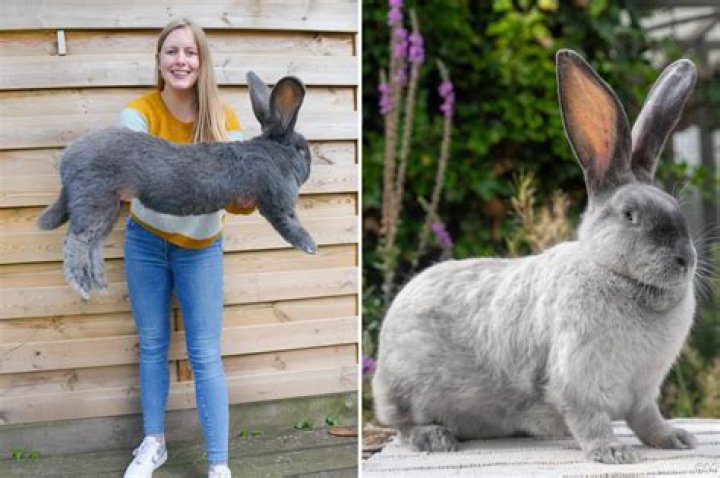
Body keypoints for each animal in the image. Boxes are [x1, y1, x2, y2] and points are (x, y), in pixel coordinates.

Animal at [37, 71, 316, 300]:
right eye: (302, 149)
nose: (310, 167)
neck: (274, 152)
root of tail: (68, 159)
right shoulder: (278, 204)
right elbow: (290, 226)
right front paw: (311, 246)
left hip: (108, 208)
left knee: (94, 244)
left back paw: (100, 284)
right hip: (94, 199)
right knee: (76, 240)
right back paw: (82, 287)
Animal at [372, 49, 699, 465]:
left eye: (676, 208)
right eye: (629, 215)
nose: (685, 260)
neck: (612, 270)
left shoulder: (643, 392)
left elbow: (648, 420)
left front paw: (674, 438)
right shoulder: (575, 382)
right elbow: (590, 421)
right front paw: (612, 452)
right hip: (405, 392)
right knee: (401, 427)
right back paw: (436, 438)